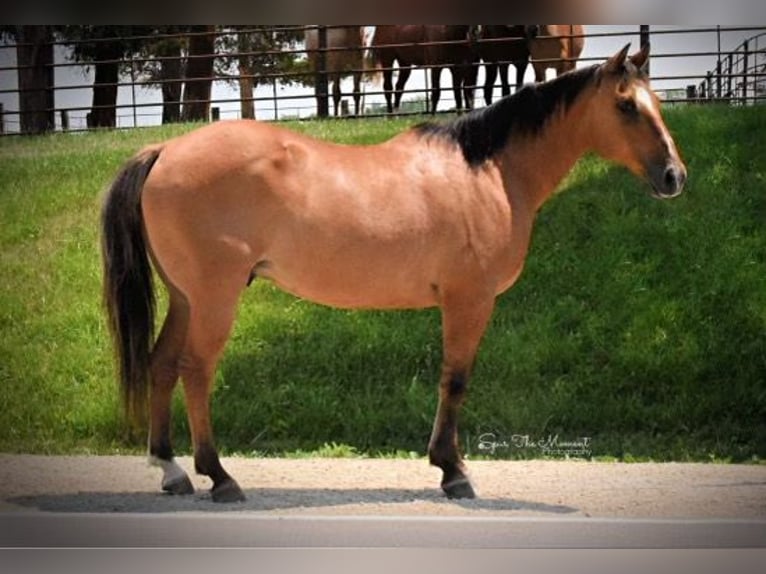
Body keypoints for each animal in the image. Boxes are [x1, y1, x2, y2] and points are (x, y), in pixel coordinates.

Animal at [103, 45, 688, 504]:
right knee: (195, 370)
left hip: (185, 297)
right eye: (625, 105)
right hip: (214, 298)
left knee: (161, 365)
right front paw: (453, 471)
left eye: (657, 103)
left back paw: (171, 469)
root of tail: (164, 151)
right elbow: (455, 379)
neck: (489, 171)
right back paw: (219, 477)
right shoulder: (469, 300)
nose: (674, 176)